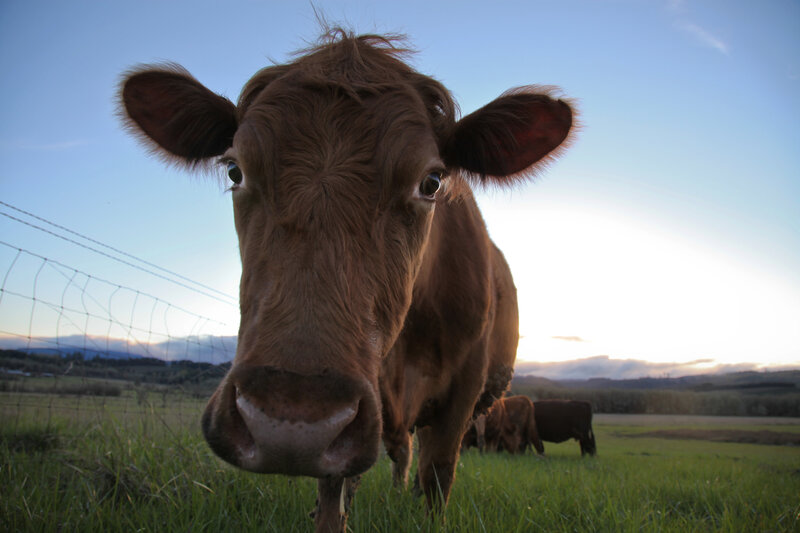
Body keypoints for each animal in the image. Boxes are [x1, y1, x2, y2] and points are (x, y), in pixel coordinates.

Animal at [119, 30, 575, 533]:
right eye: (235, 170)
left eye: (431, 182)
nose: (288, 424)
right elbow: (333, 497)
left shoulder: (463, 390)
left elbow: (439, 476)